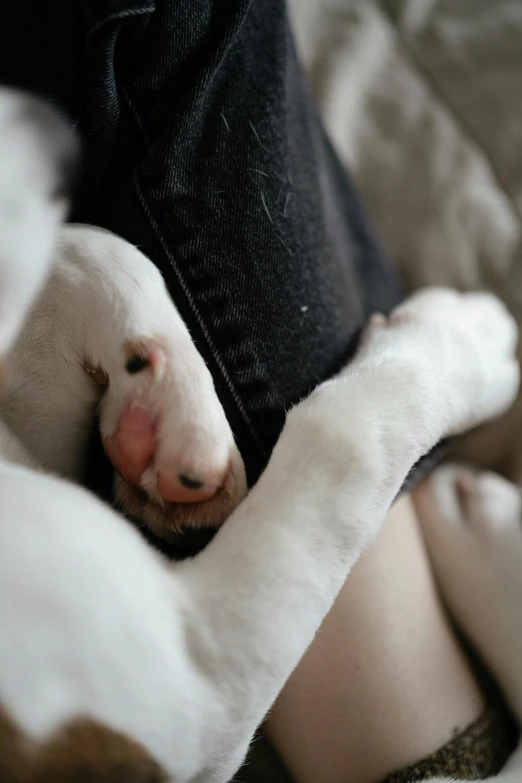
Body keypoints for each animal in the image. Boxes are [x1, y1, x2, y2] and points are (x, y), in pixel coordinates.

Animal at [0, 87, 516, 783]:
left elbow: (90, 247)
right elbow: (347, 430)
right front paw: (465, 341)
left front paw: (168, 414)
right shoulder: (206, 669)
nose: (61, 138)